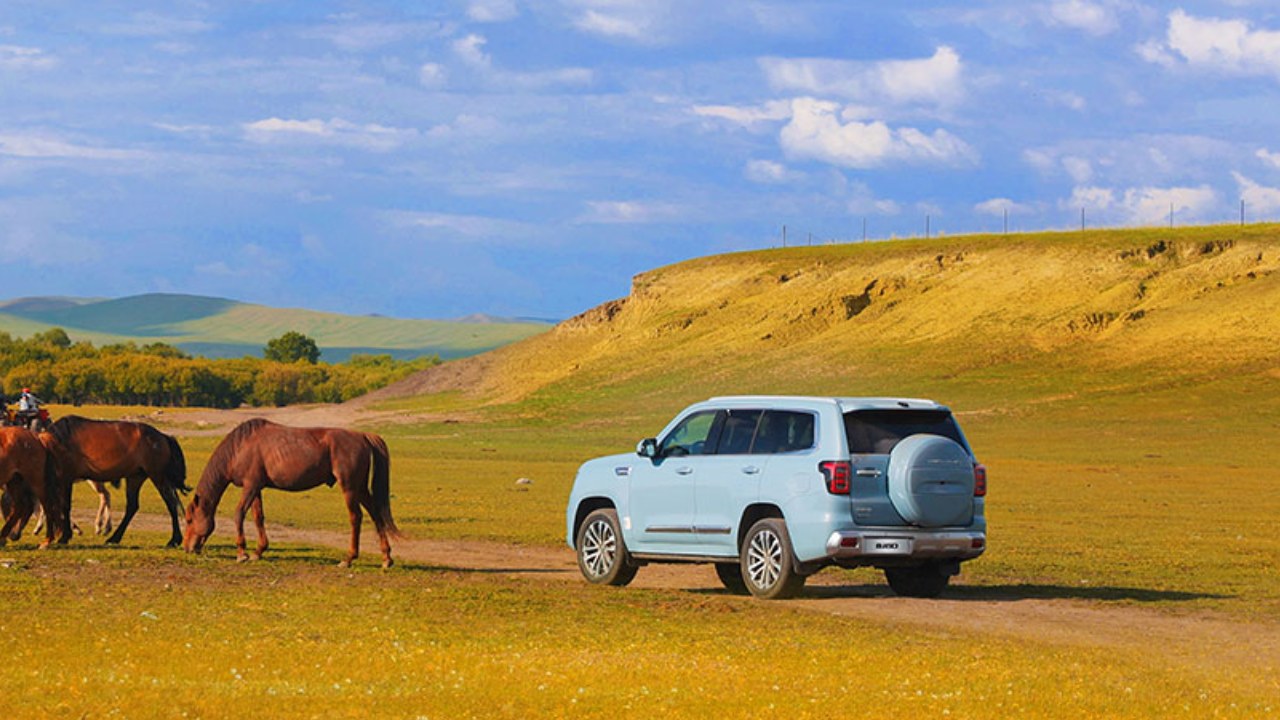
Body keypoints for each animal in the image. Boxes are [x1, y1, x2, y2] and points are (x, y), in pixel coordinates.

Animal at [44, 415, 188, 543]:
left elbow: (65, 506)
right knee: (132, 506)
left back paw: (174, 539)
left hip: (157, 476)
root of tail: (162, 436)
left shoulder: (65, 478)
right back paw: (114, 537)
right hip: (135, 477)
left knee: (170, 503)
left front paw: (65, 536)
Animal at [183, 415, 396, 566]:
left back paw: (349, 558)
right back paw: (386, 558)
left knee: (356, 518)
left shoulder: (250, 486)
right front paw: (259, 551)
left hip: (350, 487)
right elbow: (258, 517)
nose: (186, 547)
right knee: (376, 514)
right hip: (360, 488)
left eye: (189, 520)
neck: (239, 449)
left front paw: (242, 553)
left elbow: (239, 514)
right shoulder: (256, 488)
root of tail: (362, 436)